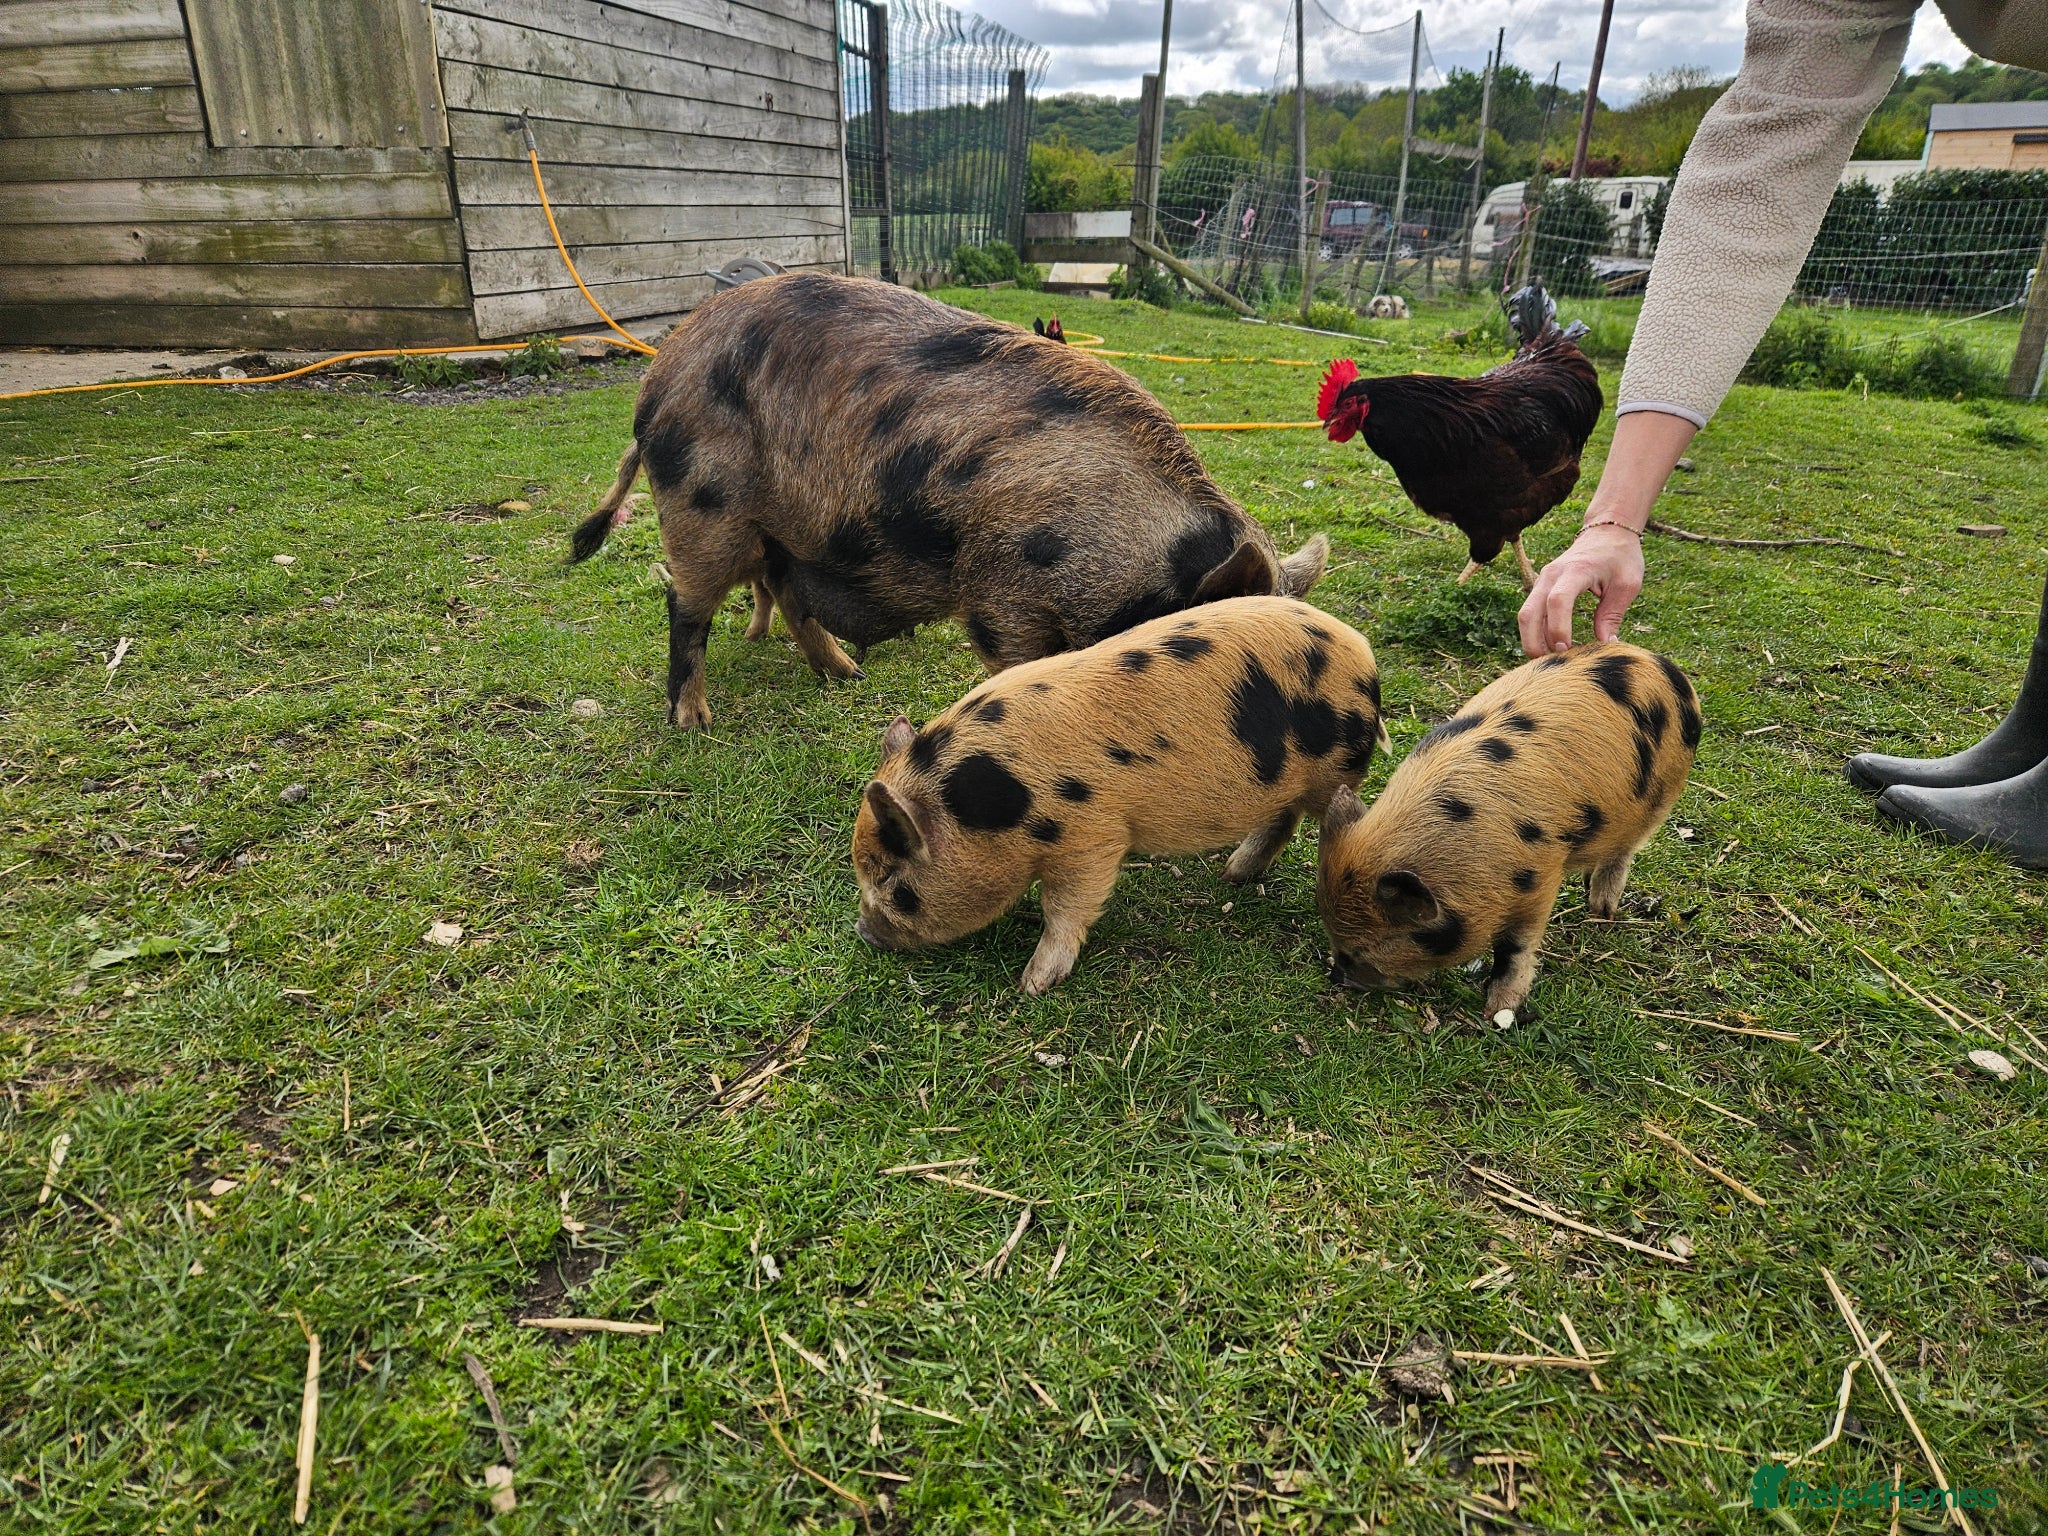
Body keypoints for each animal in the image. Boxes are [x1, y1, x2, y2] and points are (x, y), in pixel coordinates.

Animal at [567, 272, 1328, 730]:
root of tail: (655, 382)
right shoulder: (1002, 592)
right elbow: (1019, 666)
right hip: (703, 504)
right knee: (686, 607)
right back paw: (694, 723)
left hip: (785, 529)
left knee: (786, 591)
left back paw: (847, 678)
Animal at [851, 596, 1389, 994]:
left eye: (894, 883)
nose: (864, 933)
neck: (992, 809)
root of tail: (1363, 653)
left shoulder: (1092, 839)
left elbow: (1066, 908)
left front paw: (1032, 985)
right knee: (1283, 818)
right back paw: (1232, 875)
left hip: (1334, 768)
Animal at [1317, 641, 1701, 1020]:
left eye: (1375, 944)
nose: (1337, 976)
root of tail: (1657, 660)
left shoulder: (1541, 878)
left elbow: (1515, 947)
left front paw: (1498, 1010)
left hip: (1661, 796)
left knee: (1624, 851)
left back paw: (1601, 913)